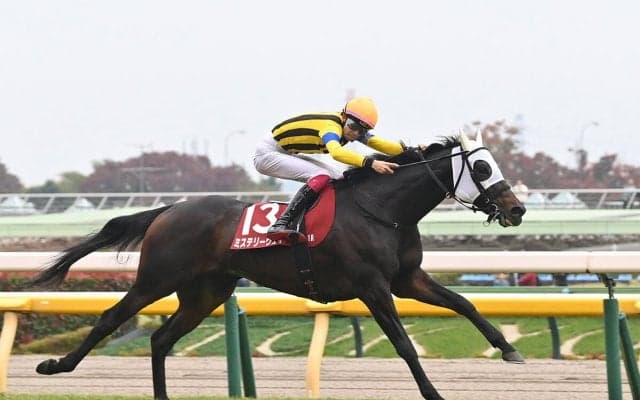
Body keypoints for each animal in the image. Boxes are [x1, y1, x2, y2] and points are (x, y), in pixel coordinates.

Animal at [29, 131, 526, 400]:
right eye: (482, 168)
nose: (517, 209)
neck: (382, 210)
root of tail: (169, 209)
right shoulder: (372, 286)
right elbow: (404, 344)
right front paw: (434, 392)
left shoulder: (407, 279)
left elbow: (464, 304)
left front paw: (508, 349)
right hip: (156, 278)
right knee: (111, 318)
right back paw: (55, 367)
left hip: (206, 292)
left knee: (160, 339)